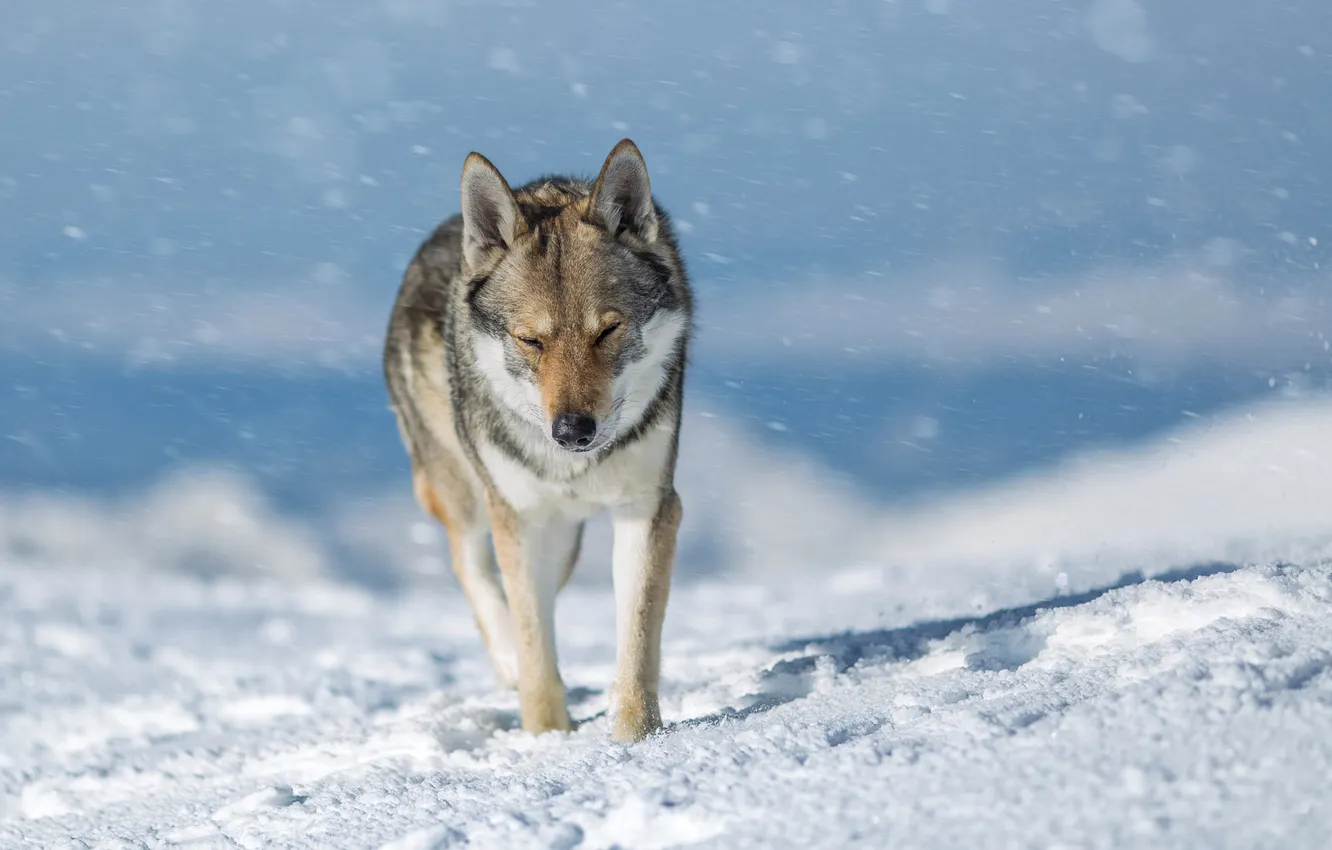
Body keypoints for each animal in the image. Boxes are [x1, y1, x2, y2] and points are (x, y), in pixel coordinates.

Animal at [383, 139, 693, 742]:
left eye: (607, 330)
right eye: (531, 341)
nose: (573, 431)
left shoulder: (648, 507)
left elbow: (636, 641)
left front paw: (635, 738)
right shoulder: (519, 519)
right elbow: (534, 648)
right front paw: (547, 740)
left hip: (565, 541)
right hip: (467, 494)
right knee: (472, 566)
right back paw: (505, 664)